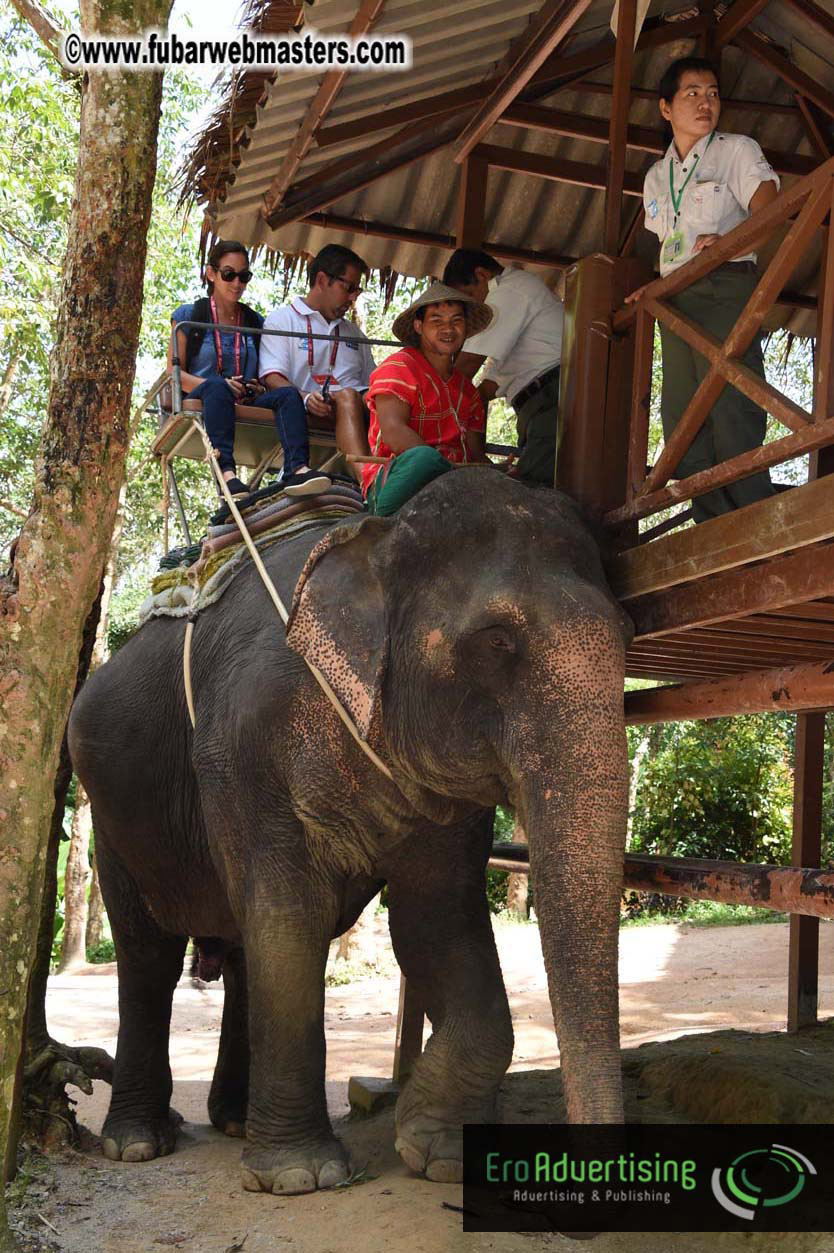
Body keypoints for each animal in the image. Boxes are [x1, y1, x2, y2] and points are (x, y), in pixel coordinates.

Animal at [67, 468, 633, 1195]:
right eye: (497, 642)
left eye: (629, 634)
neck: (378, 535)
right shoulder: (244, 745)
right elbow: (291, 914)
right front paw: (300, 1176)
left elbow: (434, 920)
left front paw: (435, 1150)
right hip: (113, 813)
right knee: (149, 954)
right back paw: (139, 1143)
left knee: (241, 948)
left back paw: (234, 1122)